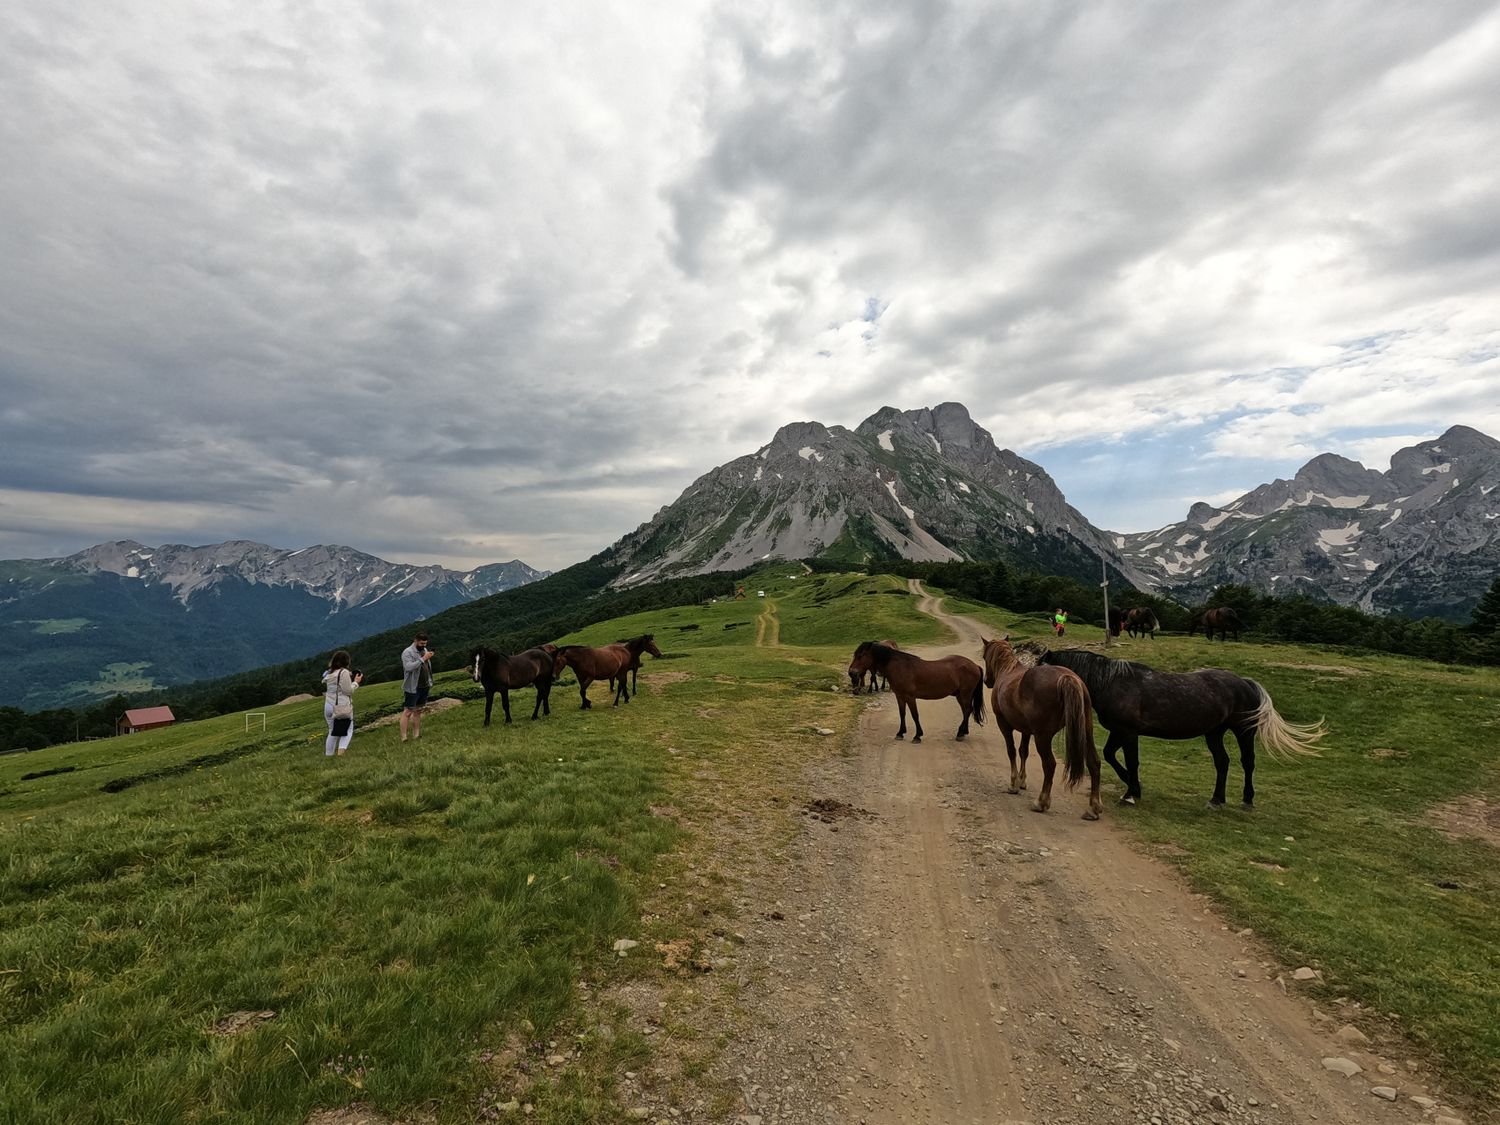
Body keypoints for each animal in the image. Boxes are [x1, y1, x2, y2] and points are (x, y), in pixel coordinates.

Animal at [846, 648, 984, 744]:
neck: (899, 667)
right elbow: (902, 714)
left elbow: (914, 715)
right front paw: (900, 733)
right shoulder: (900, 696)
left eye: (860, 656)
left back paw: (960, 733)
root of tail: (975, 666)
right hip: (960, 695)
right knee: (966, 711)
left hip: (965, 694)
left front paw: (917, 736)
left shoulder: (910, 697)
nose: (851, 672)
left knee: (967, 710)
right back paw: (963, 732)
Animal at [984, 639, 1104, 822]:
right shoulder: (1026, 730)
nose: (986, 681)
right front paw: (1022, 781)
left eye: (984, 656)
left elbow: (1012, 751)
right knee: (1094, 762)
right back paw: (1093, 808)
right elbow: (1023, 751)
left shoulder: (1004, 724)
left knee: (1049, 764)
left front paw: (1013, 784)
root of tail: (1068, 678)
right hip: (1086, 733)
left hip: (1043, 738)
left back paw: (1041, 802)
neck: (1007, 671)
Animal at [1044, 642, 1326, 810]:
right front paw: (1133, 786)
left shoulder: (1129, 733)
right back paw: (1216, 799)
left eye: (1040, 666)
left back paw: (1247, 799)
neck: (1113, 683)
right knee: (1223, 763)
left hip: (1244, 732)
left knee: (1248, 762)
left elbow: (1132, 761)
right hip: (1214, 733)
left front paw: (1131, 792)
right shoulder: (1118, 731)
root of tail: (1245, 682)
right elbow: (1110, 755)